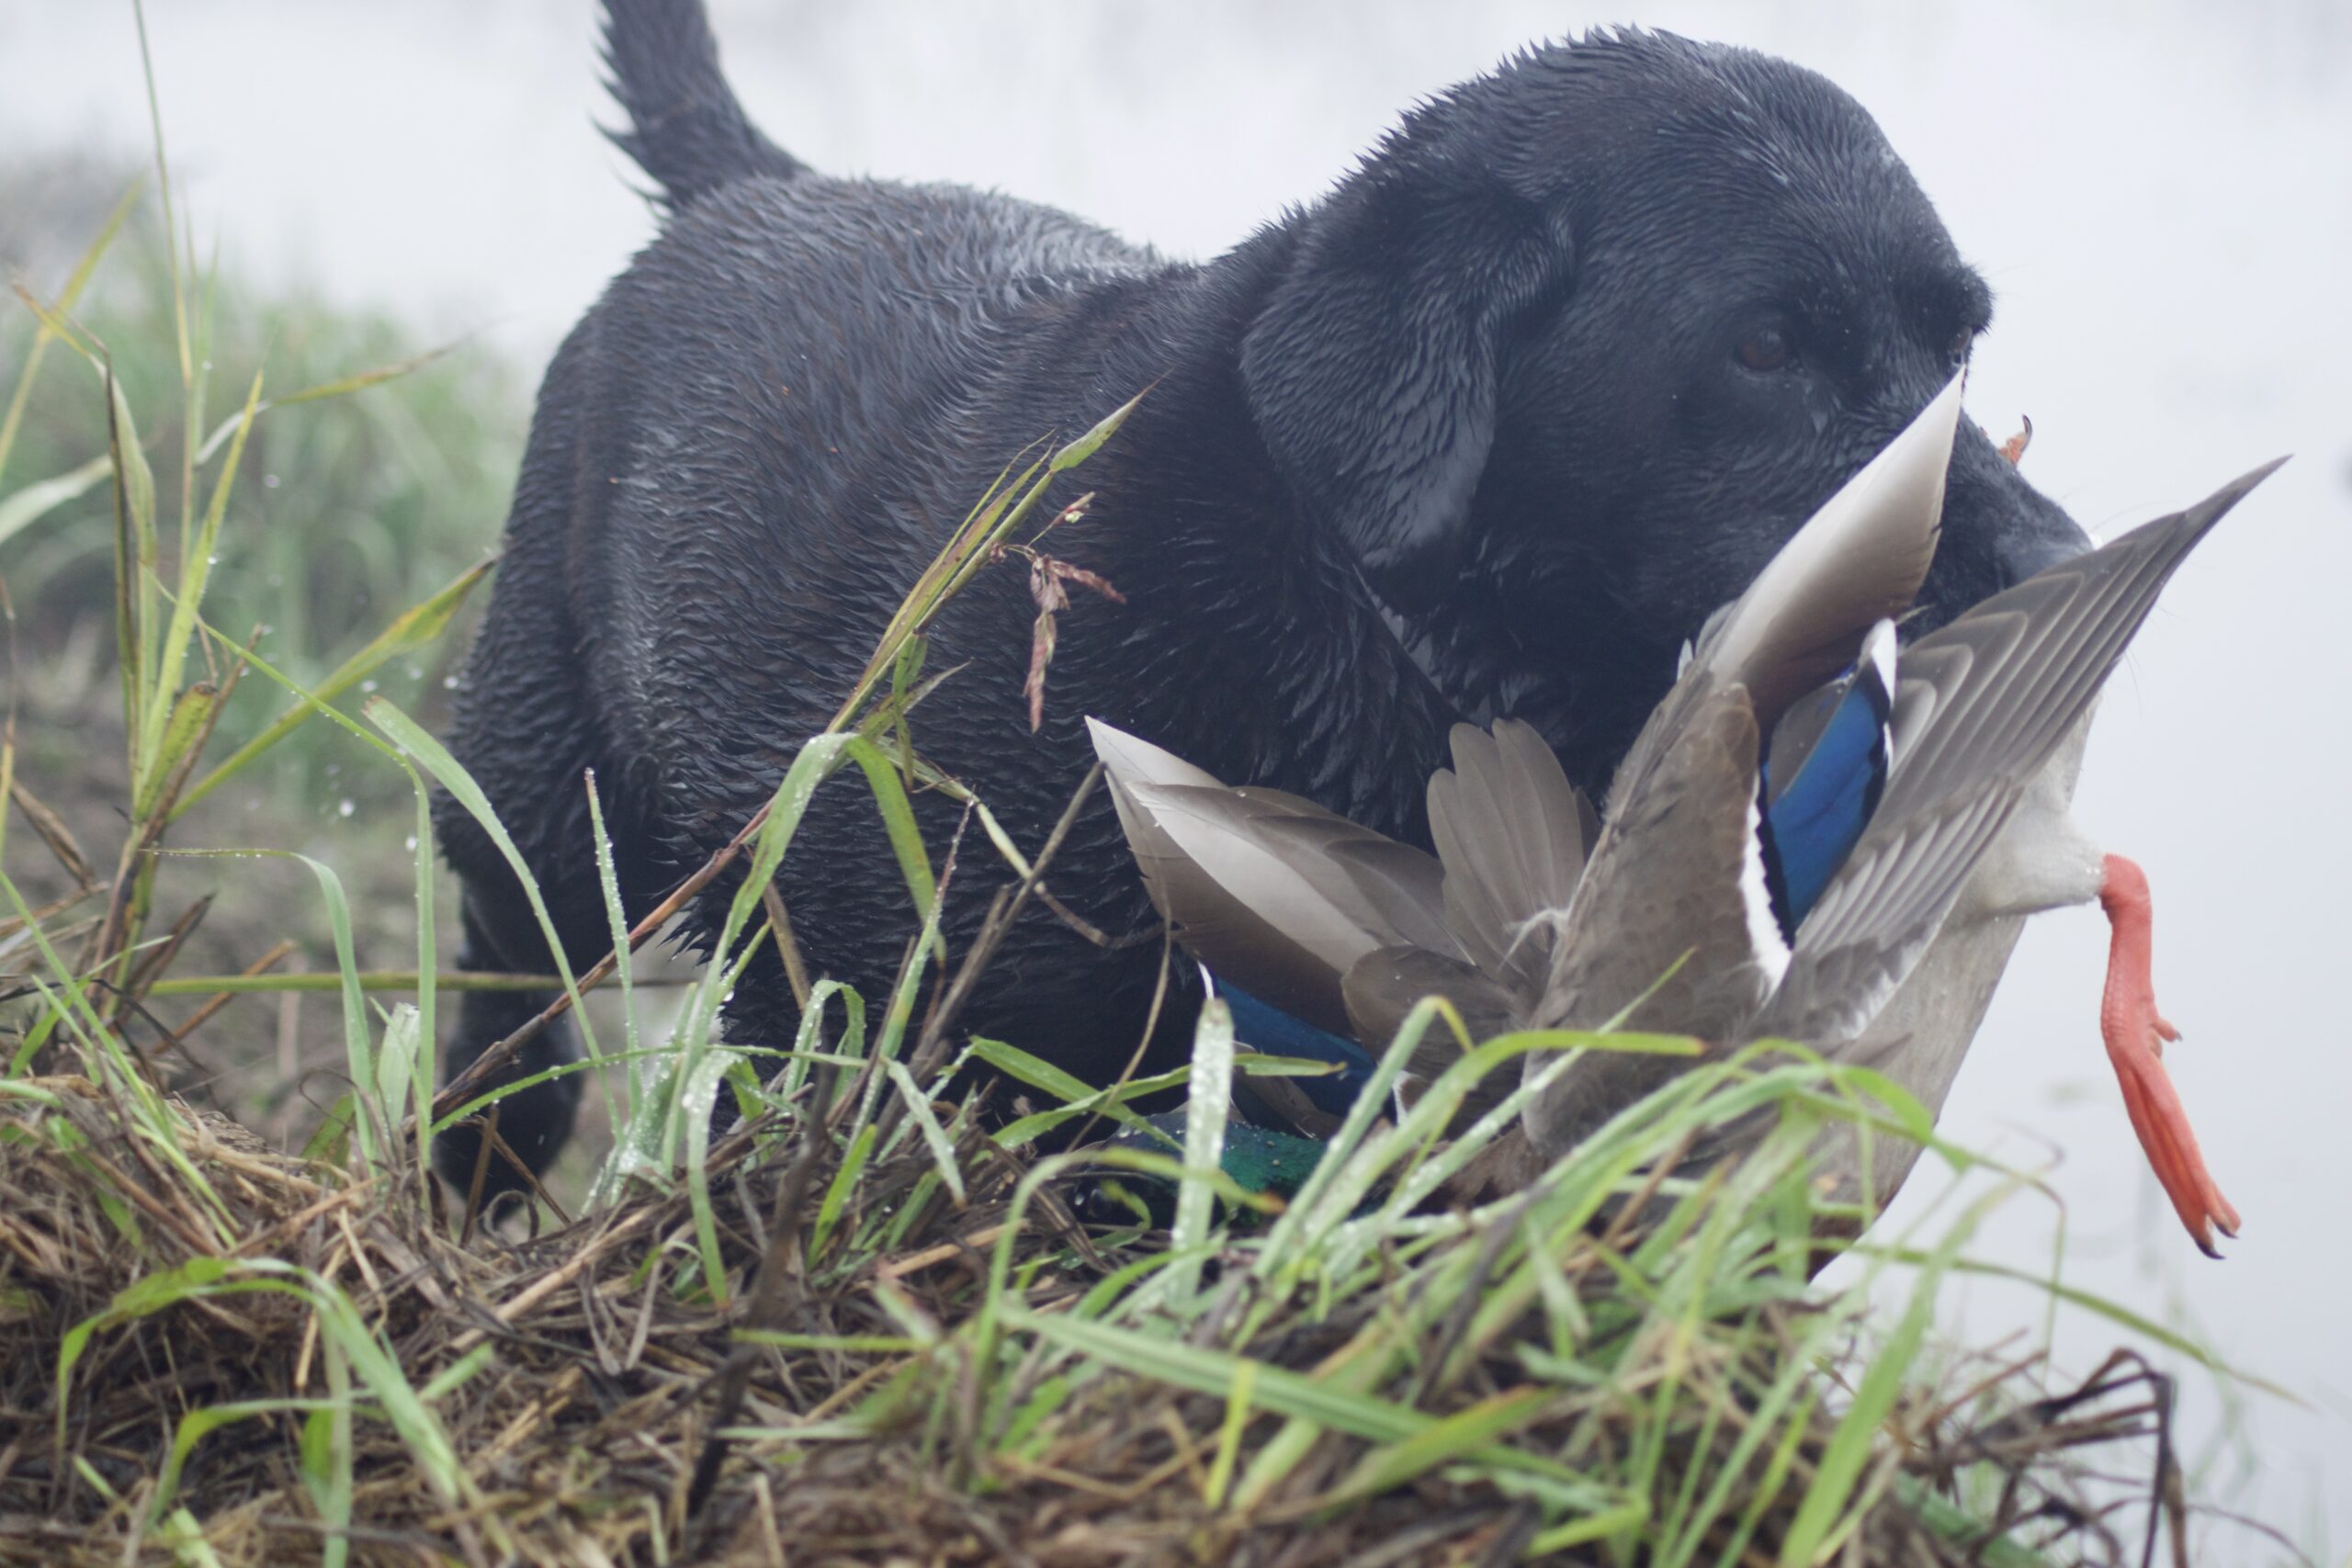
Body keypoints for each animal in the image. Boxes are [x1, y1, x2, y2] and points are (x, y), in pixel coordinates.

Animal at [433, 0, 2088, 1189]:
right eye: (1763, 347)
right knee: (505, 1004)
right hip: (539, 815)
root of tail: (771, 185)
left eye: (1959, 345)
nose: (2054, 561)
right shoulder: (841, 1010)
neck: (1371, 634)